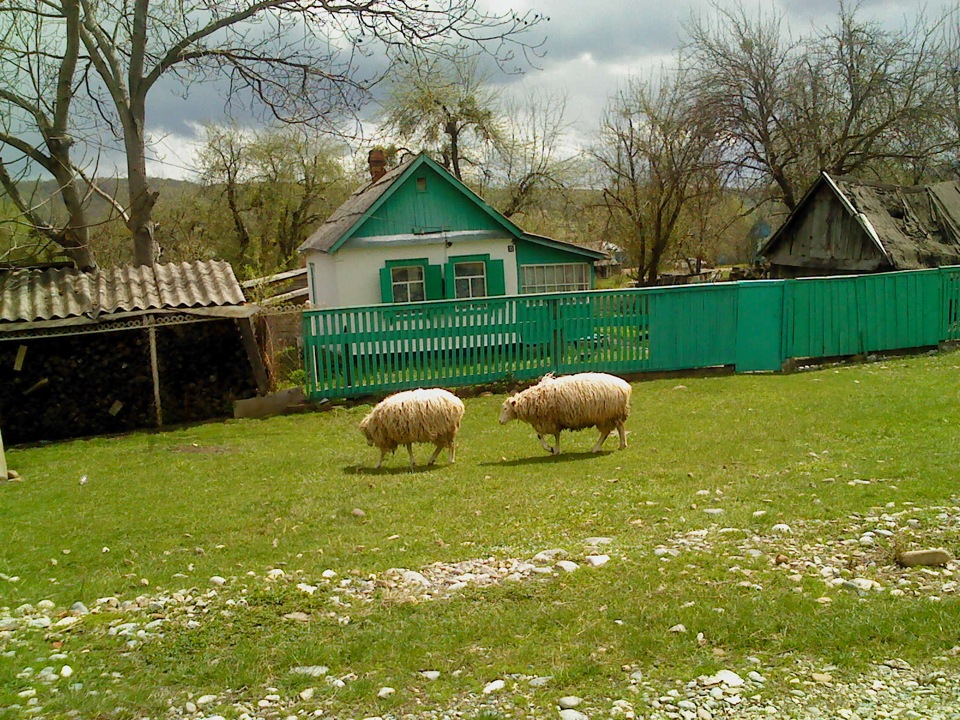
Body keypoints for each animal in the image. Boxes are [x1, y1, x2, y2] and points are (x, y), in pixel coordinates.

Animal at [498, 372, 632, 456]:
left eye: (505, 408)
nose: (499, 421)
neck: (531, 400)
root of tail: (626, 387)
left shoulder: (548, 420)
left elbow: (540, 436)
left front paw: (550, 449)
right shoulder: (554, 421)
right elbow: (556, 435)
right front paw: (556, 450)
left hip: (612, 413)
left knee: (619, 429)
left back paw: (621, 445)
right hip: (605, 416)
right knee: (606, 432)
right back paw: (597, 448)